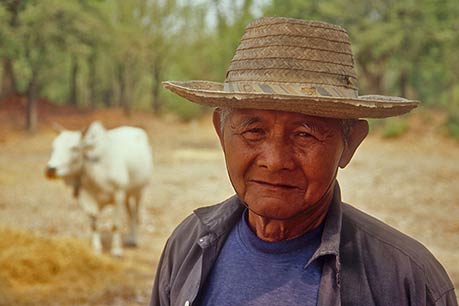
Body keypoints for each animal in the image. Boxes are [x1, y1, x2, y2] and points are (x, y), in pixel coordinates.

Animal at [46, 121, 155, 256]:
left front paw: (116, 250)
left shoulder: (118, 194)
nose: (50, 169)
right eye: (54, 146)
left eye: (74, 148)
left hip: (139, 190)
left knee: (136, 213)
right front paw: (96, 248)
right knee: (130, 213)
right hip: (127, 193)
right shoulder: (86, 197)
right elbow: (93, 223)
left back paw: (134, 239)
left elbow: (115, 224)